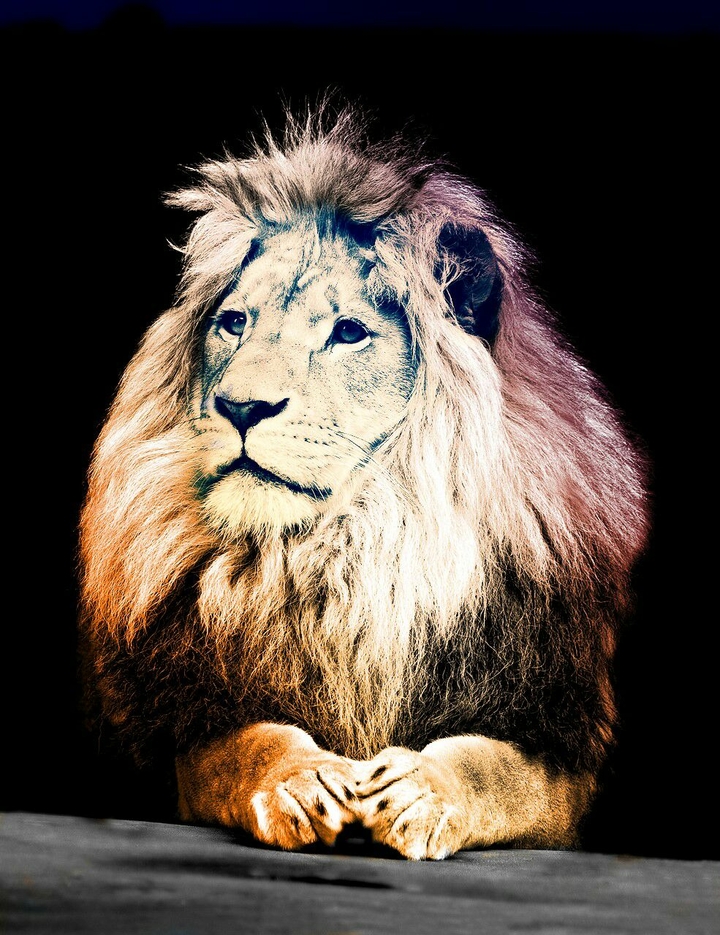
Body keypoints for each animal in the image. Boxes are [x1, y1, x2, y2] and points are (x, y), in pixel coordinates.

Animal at [78, 102, 650, 860]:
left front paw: (423, 790)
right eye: (233, 323)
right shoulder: (183, 727)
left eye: (348, 332)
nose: (241, 407)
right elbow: (244, 745)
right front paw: (299, 782)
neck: (356, 555)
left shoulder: (559, 741)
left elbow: (498, 769)